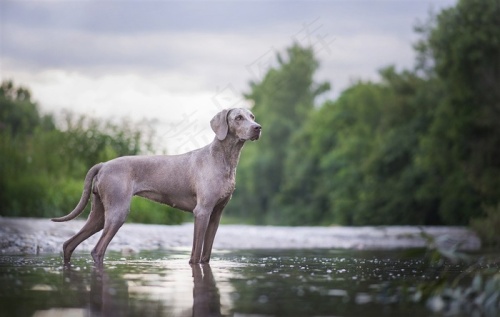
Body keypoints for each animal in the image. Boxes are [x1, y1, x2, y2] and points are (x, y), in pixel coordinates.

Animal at [51, 107, 262, 266]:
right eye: (238, 118)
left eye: (252, 116)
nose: (258, 128)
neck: (225, 159)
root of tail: (103, 165)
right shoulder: (202, 212)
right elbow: (195, 256)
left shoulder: (216, 214)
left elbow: (205, 255)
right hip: (118, 211)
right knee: (97, 250)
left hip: (99, 214)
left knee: (69, 244)